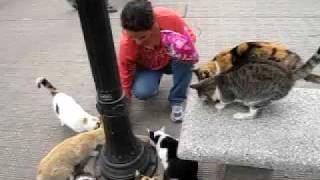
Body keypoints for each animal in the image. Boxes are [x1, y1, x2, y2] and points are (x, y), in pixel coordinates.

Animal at [190, 46, 320, 119]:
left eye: (204, 99)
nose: (203, 103)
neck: (216, 81)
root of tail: (289, 74)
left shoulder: (228, 94)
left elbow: (225, 101)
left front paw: (219, 105)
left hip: (256, 99)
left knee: (255, 114)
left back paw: (240, 115)